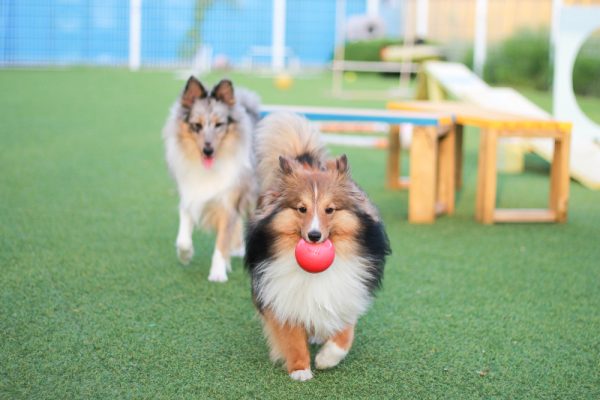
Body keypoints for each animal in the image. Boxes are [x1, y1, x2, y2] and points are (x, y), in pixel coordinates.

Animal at [163, 77, 258, 282]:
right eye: (196, 125)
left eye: (219, 124)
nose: (208, 150)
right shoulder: (190, 195)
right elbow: (183, 237)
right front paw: (185, 255)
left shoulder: (228, 202)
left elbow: (221, 243)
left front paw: (218, 273)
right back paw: (237, 249)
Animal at [245, 111, 392, 382]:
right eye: (301, 208)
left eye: (330, 209)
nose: (314, 236)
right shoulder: (280, 293)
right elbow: (292, 335)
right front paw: (300, 369)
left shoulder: (347, 290)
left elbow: (345, 333)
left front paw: (327, 358)